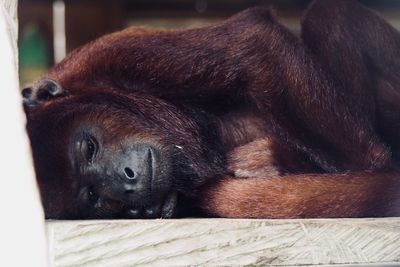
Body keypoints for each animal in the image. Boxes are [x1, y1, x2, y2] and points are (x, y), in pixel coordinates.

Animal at [23, 0, 400, 220]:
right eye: (92, 194)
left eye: (90, 147)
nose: (126, 179)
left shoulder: (111, 56)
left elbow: (254, 42)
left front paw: (370, 173)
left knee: (329, 15)